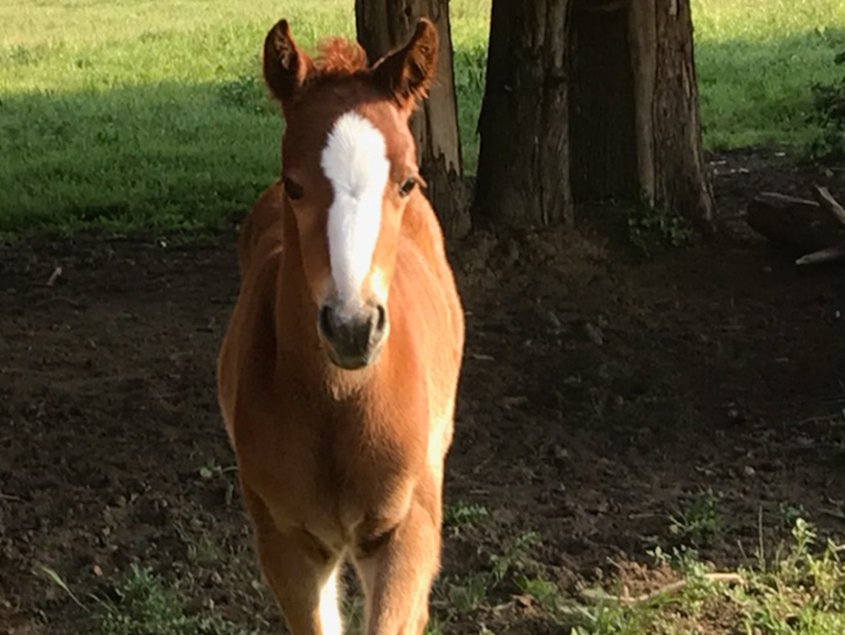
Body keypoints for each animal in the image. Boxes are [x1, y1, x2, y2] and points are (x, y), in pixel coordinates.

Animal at [214, 16, 464, 635]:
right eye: (293, 184)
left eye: (407, 182)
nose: (353, 326)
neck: (340, 404)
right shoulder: (287, 543)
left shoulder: (405, 533)